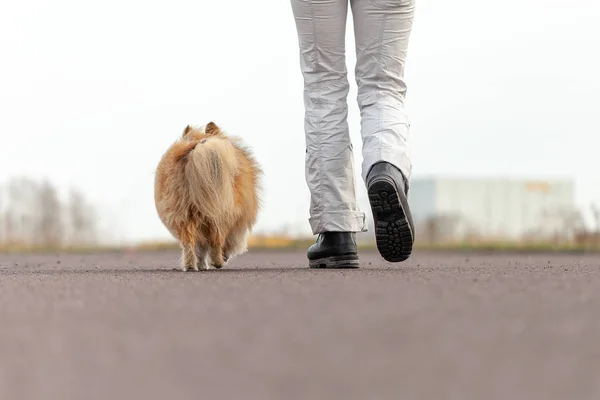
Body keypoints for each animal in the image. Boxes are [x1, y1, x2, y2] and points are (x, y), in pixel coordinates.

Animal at [155, 122, 260, 270]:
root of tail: (201, 145)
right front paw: (223, 256)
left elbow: (201, 248)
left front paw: (201, 264)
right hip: (221, 213)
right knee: (217, 240)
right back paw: (218, 262)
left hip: (183, 213)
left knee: (189, 243)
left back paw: (190, 266)